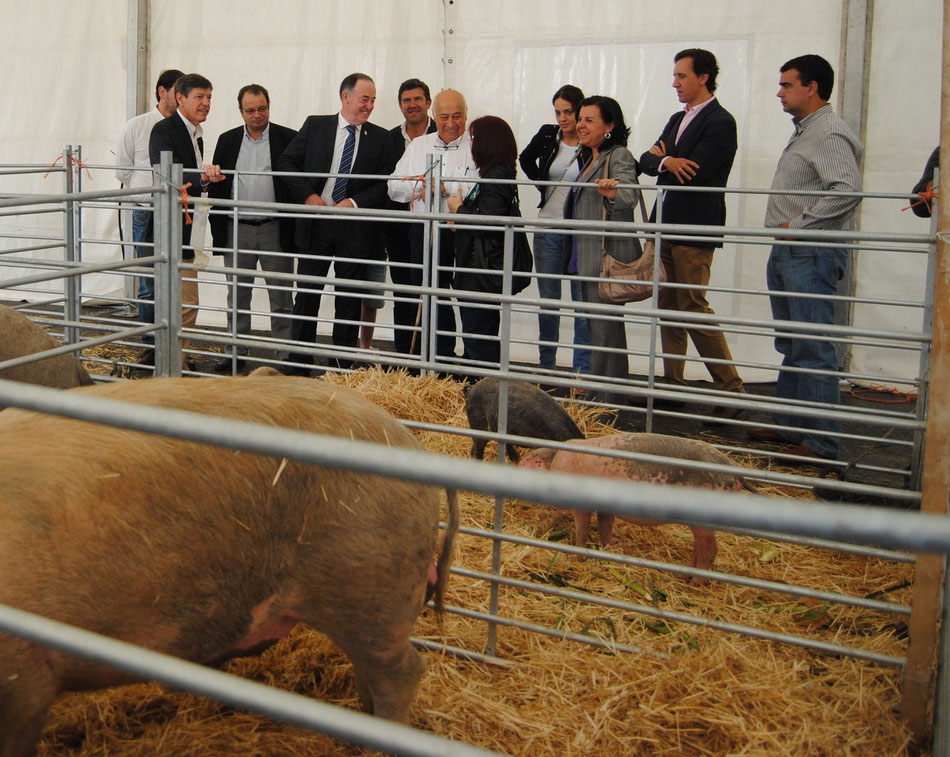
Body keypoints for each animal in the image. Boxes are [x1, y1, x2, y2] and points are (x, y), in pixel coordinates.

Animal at [520, 432, 752, 584]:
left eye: (523, 466)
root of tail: (736, 474)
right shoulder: (606, 506)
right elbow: (605, 526)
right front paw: (608, 550)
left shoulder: (581, 503)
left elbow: (582, 529)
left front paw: (578, 555)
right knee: (700, 547)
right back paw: (683, 576)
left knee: (710, 550)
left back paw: (694, 585)